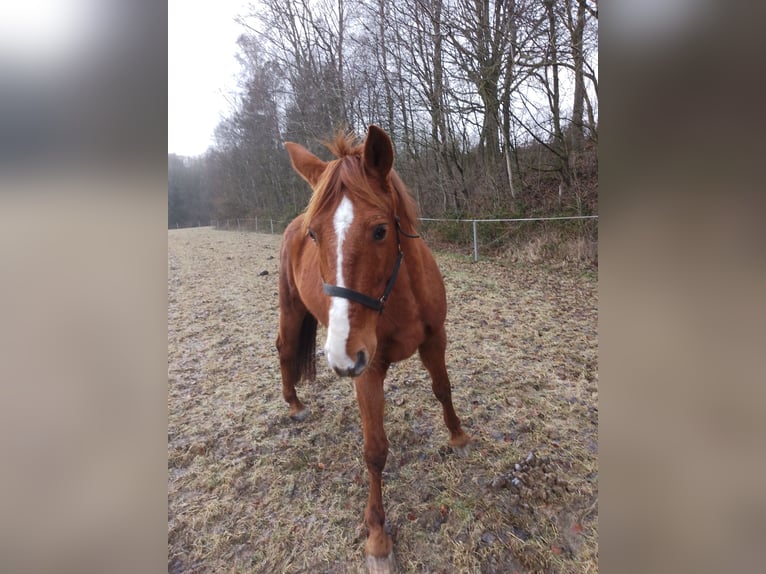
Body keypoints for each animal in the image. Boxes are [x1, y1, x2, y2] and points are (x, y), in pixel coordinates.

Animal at [276, 125, 471, 573]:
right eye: (316, 235)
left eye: (380, 230)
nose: (341, 357)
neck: (400, 296)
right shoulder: (368, 371)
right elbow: (375, 451)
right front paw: (378, 538)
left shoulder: (435, 339)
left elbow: (443, 389)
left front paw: (457, 435)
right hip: (291, 311)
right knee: (283, 348)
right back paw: (294, 404)